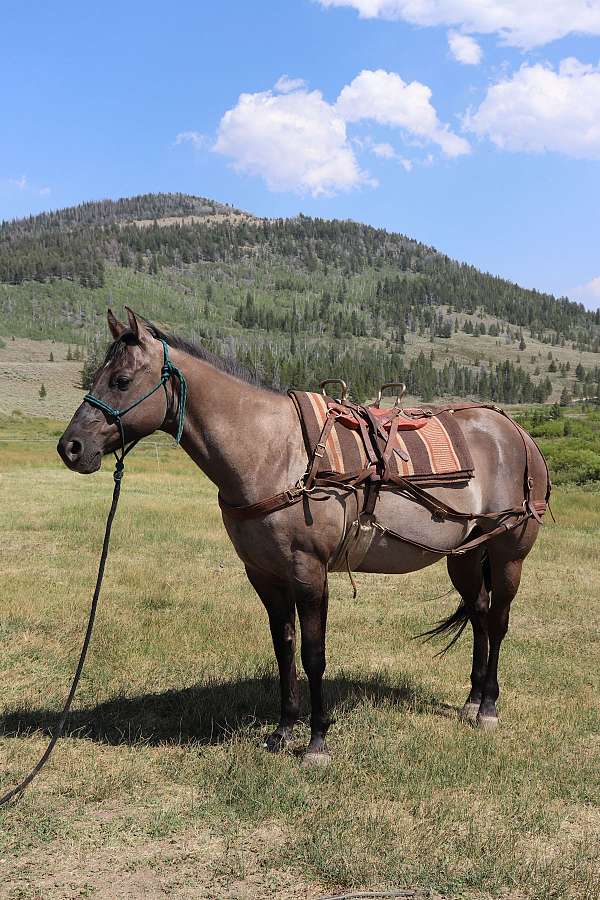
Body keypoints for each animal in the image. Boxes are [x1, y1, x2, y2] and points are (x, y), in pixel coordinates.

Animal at [57, 308, 550, 766]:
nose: (71, 447)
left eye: (121, 380)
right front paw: (282, 731)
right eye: (97, 375)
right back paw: (471, 701)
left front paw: (316, 742)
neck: (273, 452)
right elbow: (284, 649)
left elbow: (314, 654)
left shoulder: (310, 572)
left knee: (498, 621)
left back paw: (488, 708)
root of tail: (518, 434)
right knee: (480, 614)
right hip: (463, 555)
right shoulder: (265, 575)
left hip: (507, 554)